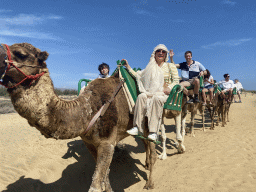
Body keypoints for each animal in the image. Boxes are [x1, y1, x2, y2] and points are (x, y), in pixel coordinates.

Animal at [0, 42, 166, 191]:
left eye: (21, 54)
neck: (88, 111)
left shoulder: (108, 143)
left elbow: (96, 185)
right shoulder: (89, 143)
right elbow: (105, 176)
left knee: (152, 148)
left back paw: (149, 183)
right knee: (144, 142)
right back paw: (146, 164)